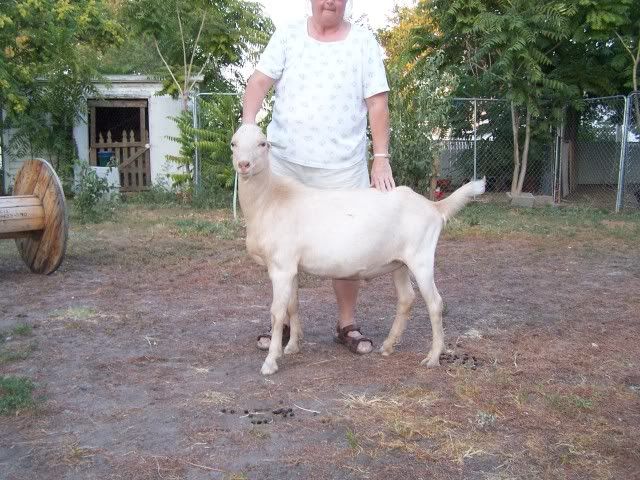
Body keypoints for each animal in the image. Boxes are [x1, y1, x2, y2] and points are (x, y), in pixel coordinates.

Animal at [231, 124, 485, 375]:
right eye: (234, 143)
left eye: (263, 143)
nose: (244, 164)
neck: (270, 200)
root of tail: (433, 206)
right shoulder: (291, 266)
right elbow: (292, 306)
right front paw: (292, 346)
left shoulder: (281, 266)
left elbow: (277, 312)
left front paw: (271, 361)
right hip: (400, 263)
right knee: (407, 298)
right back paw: (388, 345)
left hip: (421, 258)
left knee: (435, 303)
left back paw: (432, 357)